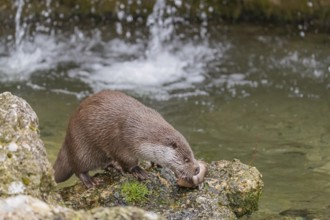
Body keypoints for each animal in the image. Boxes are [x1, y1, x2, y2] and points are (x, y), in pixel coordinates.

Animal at [53, 89, 201, 187]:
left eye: (192, 155)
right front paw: (138, 170)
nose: (197, 169)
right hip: (81, 146)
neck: (139, 131)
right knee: (78, 167)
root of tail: (67, 139)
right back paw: (90, 181)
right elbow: (128, 161)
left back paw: (113, 166)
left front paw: (156, 163)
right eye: (186, 159)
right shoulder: (121, 141)